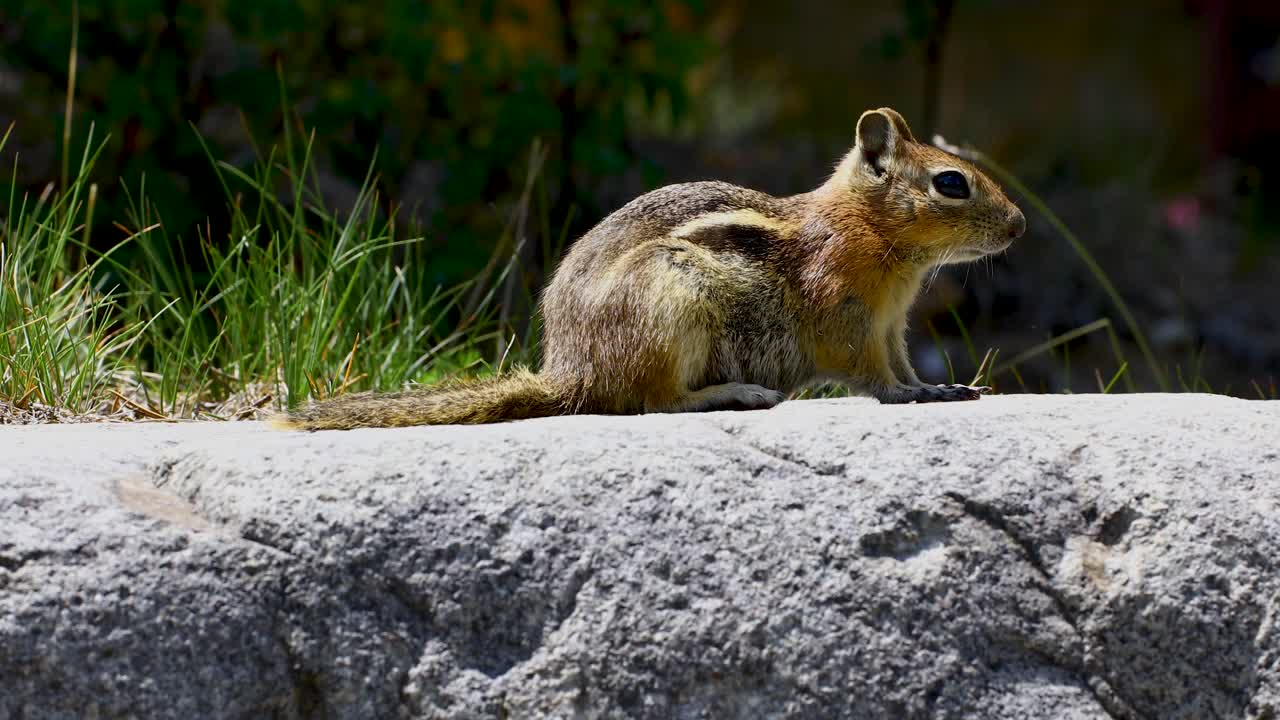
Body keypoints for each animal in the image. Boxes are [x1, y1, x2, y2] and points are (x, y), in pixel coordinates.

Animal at [273, 107, 1025, 430]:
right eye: (951, 183)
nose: (1019, 225)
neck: (868, 232)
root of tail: (571, 374)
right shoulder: (847, 315)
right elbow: (872, 378)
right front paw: (909, 398)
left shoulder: (893, 326)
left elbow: (902, 367)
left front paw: (941, 389)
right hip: (673, 308)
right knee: (652, 402)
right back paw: (736, 394)